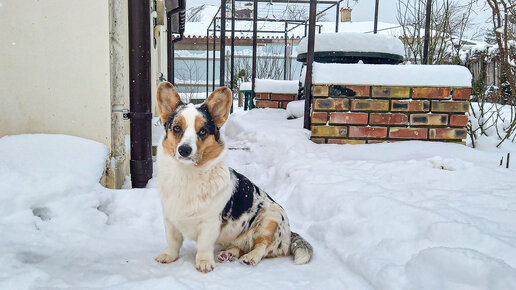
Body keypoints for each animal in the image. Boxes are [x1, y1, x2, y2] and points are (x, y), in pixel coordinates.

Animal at [154, 81, 314, 272]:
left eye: (202, 131)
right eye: (177, 128)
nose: (184, 150)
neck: (187, 174)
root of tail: (289, 235)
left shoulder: (210, 223)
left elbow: (204, 245)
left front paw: (204, 263)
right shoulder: (170, 219)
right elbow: (173, 241)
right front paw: (168, 256)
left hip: (271, 218)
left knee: (262, 246)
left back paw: (250, 257)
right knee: (239, 246)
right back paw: (228, 254)